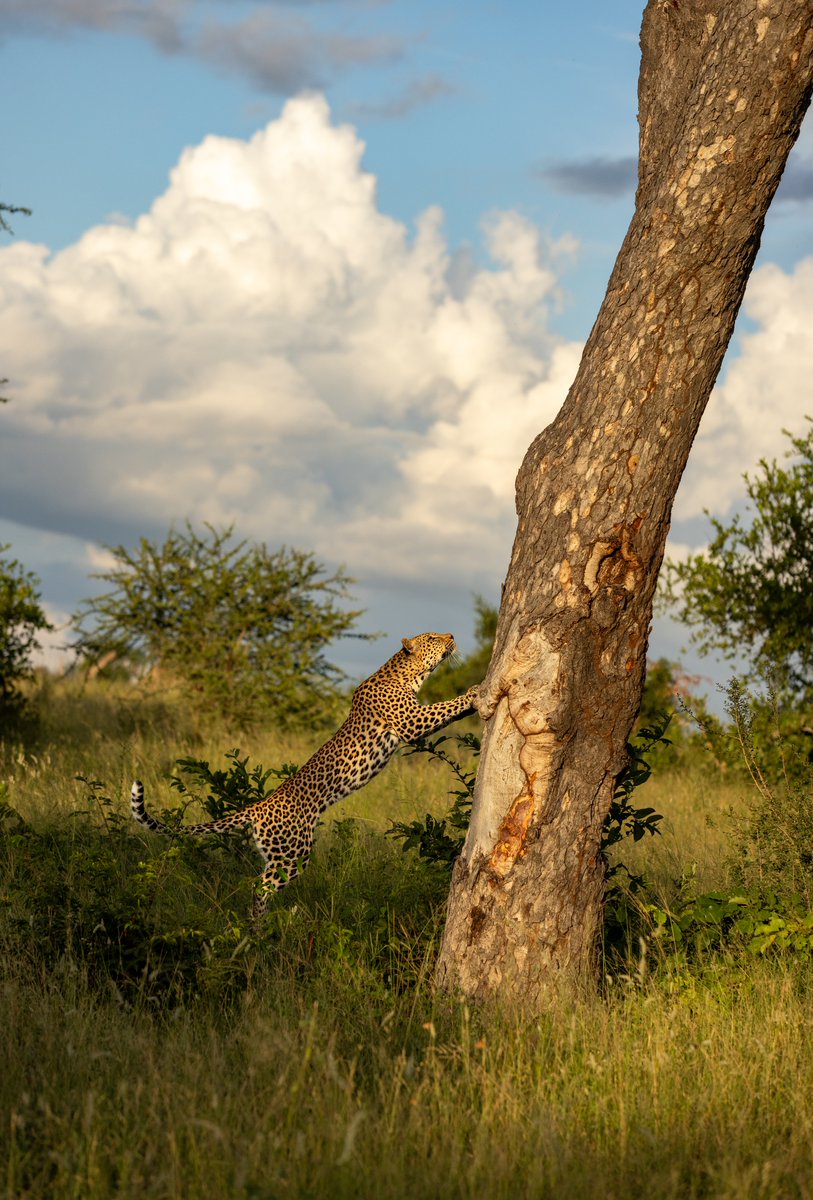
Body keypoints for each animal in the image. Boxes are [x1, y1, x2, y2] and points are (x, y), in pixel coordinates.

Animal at [130, 632, 479, 916]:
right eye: (432, 637)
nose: (451, 634)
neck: (407, 672)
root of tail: (258, 806)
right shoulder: (411, 722)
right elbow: (445, 707)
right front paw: (474, 693)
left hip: (278, 853)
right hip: (293, 852)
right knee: (258, 886)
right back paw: (258, 933)